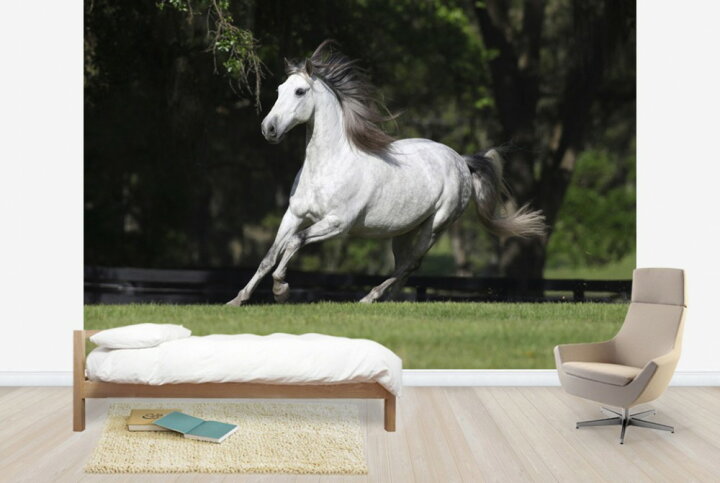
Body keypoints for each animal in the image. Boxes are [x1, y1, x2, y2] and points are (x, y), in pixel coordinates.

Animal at [227, 40, 545, 305]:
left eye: (300, 91)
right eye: (279, 90)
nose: (269, 128)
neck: (328, 167)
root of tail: (460, 160)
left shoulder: (337, 223)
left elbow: (294, 243)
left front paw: (281, 289)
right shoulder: (294, 215)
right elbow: (269, 256)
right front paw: (238, 299)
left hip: (436, 225)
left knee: (410, 264)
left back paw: (370, 297)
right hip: (404, 231)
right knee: (404, 265)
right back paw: (389, 300)